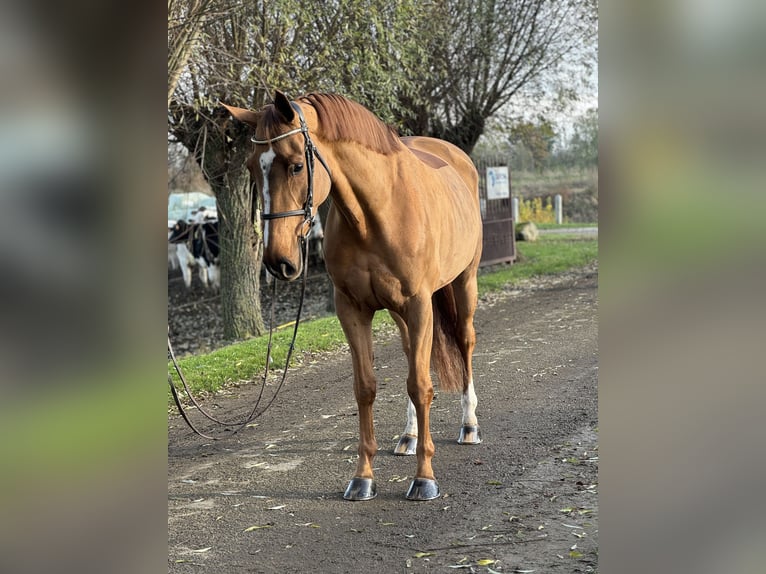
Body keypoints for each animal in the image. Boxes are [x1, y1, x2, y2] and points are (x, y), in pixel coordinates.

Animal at [225, 92, 484, 502]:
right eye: (252, 167)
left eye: (296, 165)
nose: (278, 262)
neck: (377, 213)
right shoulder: (352, 309)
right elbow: (366, 388)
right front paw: (363, 478)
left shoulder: (418, 303)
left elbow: (420, 385)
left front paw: (424, 478)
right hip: (402, 313)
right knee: (413, 354)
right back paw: (409, 435)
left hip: (463, 283)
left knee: (464, 341)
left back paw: (469, 425)